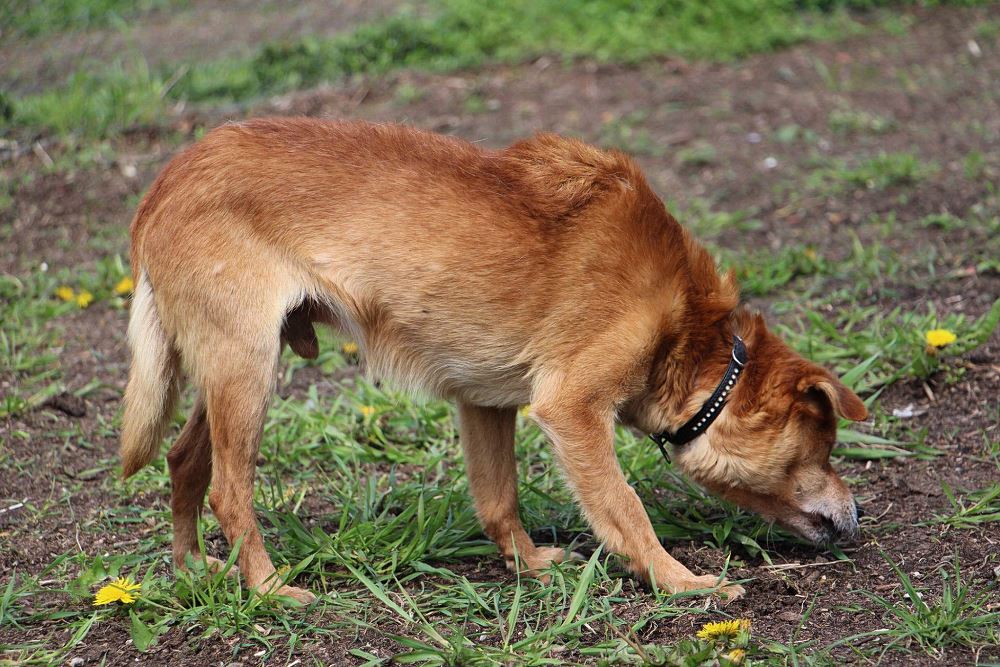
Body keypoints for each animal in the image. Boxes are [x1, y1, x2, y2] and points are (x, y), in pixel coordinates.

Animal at [121, 118, 867, 604]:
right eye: (826, 448)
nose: (857, 511)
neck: (684, 329)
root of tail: (164, 183)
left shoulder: (483, 402)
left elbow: (498, 498)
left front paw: (530, 566)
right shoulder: (572, 410)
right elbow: (626, 509)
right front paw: (679, 581)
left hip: (230, 370)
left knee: (184, 460)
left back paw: (194, 570)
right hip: (246, 372)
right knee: (229, 490)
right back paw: (271, 589)